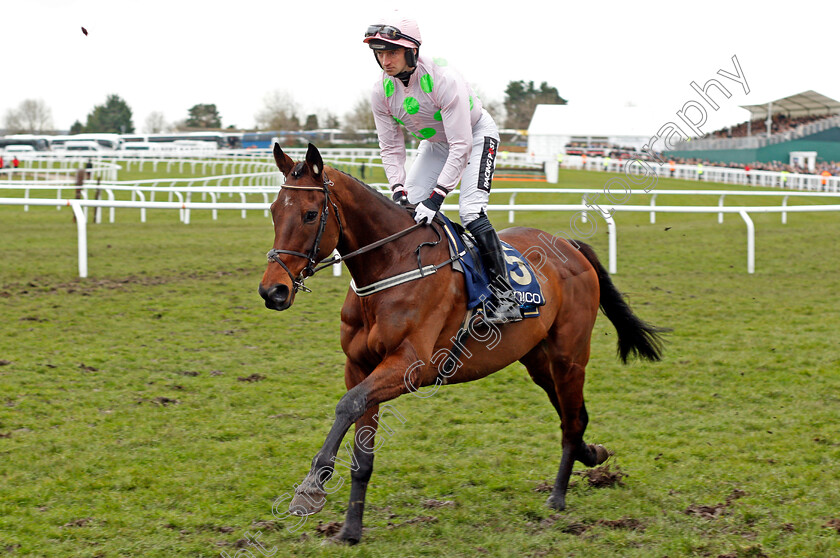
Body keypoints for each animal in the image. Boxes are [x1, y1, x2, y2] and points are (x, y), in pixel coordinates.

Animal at [256, 142, 664, 544]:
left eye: (310, 214)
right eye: (274, 211)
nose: (273, 290)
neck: (392, 265)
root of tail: (569, 243)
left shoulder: (409, 367)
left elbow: (347, 405)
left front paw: (311, 487)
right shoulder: (358, 366)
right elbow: (361, 446)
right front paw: (350, 530)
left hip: (570, 356)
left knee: (573, 418)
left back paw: (558, 496)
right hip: (537, 359)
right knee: (571, 414)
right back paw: (590, 454)